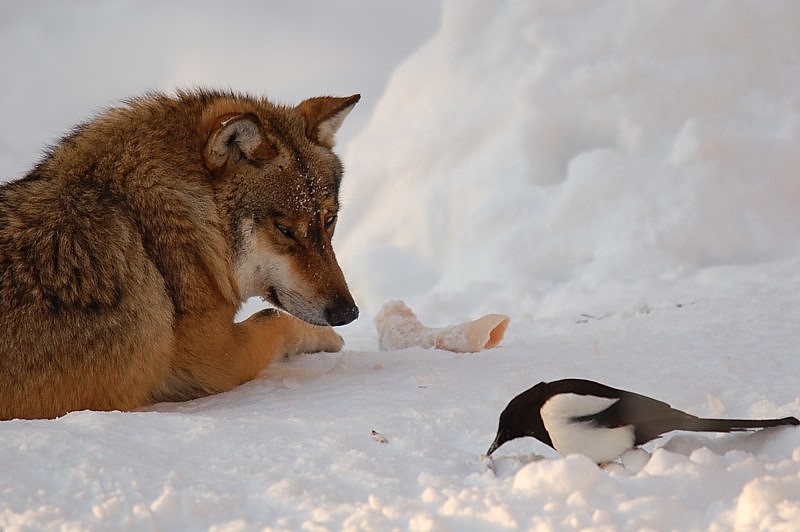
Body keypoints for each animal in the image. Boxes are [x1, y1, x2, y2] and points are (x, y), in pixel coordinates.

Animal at [0, 88, 360, 420]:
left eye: (329, 221)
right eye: (285, 230)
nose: (348, 312)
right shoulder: (215, 358)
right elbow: (274, 318)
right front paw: (328, 339)